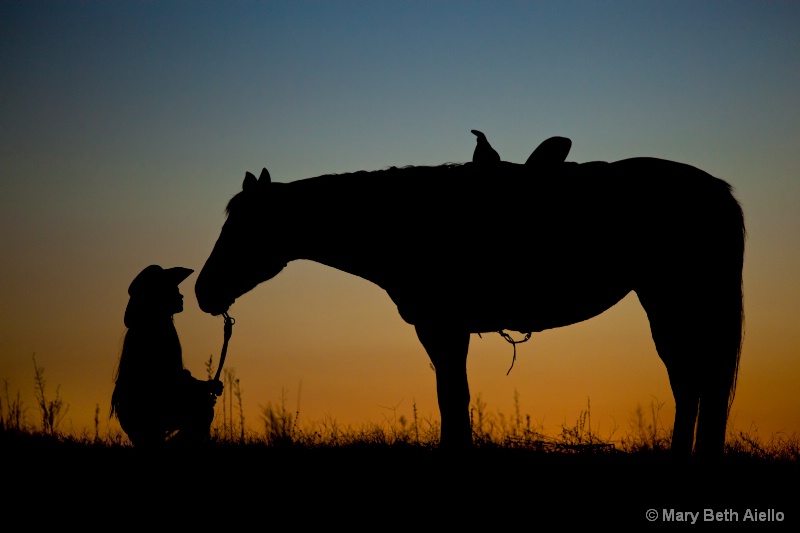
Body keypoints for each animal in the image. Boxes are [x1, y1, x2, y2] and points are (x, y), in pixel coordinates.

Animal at [197, 134, 748, 458]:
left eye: (243, 227)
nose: (204, 292)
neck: (405, 221)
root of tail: (718, 191)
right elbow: (453, 394)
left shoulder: (441, 326)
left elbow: (452, 395)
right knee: (692, 380)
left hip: (674, 300)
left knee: (696, 379)